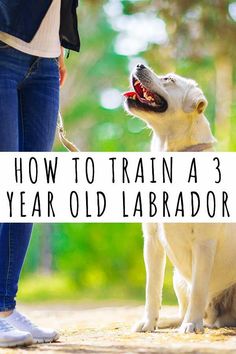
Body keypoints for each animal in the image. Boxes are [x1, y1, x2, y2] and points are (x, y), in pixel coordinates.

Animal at [123, 64, 236, 334]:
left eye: (169, 80)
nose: (138, 65)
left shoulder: (204, 244)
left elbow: (199, 288)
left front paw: (191, 325)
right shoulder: (152, 240)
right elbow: (152, 289)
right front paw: (148, 322)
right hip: (177, 278)